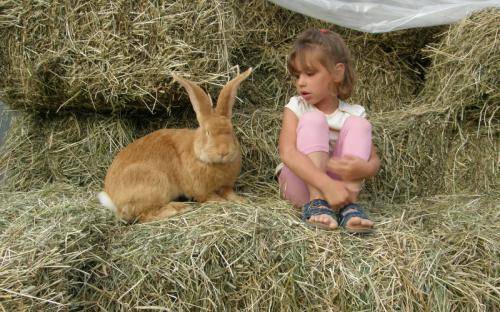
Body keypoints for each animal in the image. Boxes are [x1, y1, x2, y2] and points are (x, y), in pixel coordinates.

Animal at [98, 69, 252, 223]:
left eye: (231, 130)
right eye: (207, 132)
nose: (224, 152)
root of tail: (113, 199)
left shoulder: (226, 186)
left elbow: (229, 193)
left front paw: (242, 200)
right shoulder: (201, 190)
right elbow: (210, 197)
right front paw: (222, 202)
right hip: (155, 185)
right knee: (144, 215)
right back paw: (178, 209)